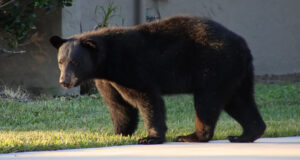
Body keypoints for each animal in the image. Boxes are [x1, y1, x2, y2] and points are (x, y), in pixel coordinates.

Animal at [50, 15, 266, 144]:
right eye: (60, 61)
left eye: (75, 62)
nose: (64, 81)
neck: (107, 62)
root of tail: (242, 44)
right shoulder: (107, 81)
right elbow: (118, 105)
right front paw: (118, 133)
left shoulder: (132, 67)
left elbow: (147, 99)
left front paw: (150, 137)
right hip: (235, 72)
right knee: (240, 100)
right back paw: (244, 134)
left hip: (214, 66)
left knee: (207, 101)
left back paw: (192, 136)